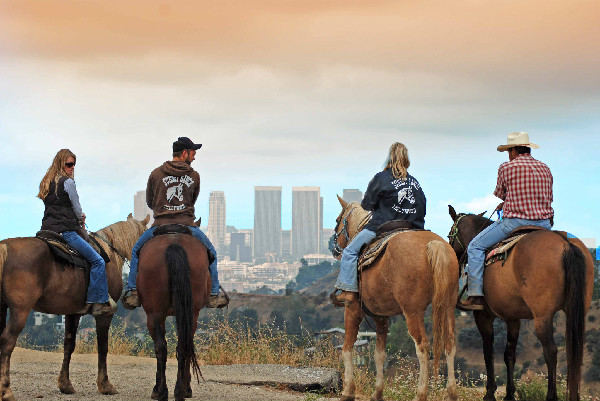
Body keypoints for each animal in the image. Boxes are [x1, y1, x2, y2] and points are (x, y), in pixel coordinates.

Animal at [0, 214, 149, 398]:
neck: (109, 254)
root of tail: (5, 246)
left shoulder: (73, 313)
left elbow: (69, 346)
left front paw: (65, 384)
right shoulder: (105, 315)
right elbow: (103, 347)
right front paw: (105, 385)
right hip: (20, 311)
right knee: (7, 342)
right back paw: (6, 390)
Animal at [137, 231, 210, 400]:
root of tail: (174, 245)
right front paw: (185, 387)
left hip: (155, 313)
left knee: (163, 347)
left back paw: (164, 391)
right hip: (189, 313)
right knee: (181, 346)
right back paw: (177, 391)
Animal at [332, 197, 460, 400]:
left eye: (338, 220)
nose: (335, 248)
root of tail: (434, 244)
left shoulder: (352, 309)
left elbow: (347, 348)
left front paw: (348, 390)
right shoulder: (381, 316)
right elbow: (379, 354)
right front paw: (377, 392)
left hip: (413, 311)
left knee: (422, 346)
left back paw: (421, 393)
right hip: (448, 305)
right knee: (450, 342)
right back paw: (452, 392)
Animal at [448, 206, 592, 400]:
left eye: (450, 235)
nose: (452, 258)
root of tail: (566, 244)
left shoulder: (483, 315)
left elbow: (488, 352)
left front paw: (490, 392)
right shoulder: (513, 318)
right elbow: (509, 354)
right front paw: (509, 393)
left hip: (542, 317)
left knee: (551, 351)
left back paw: (551, 396)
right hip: (576, 311)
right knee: (573, 350)